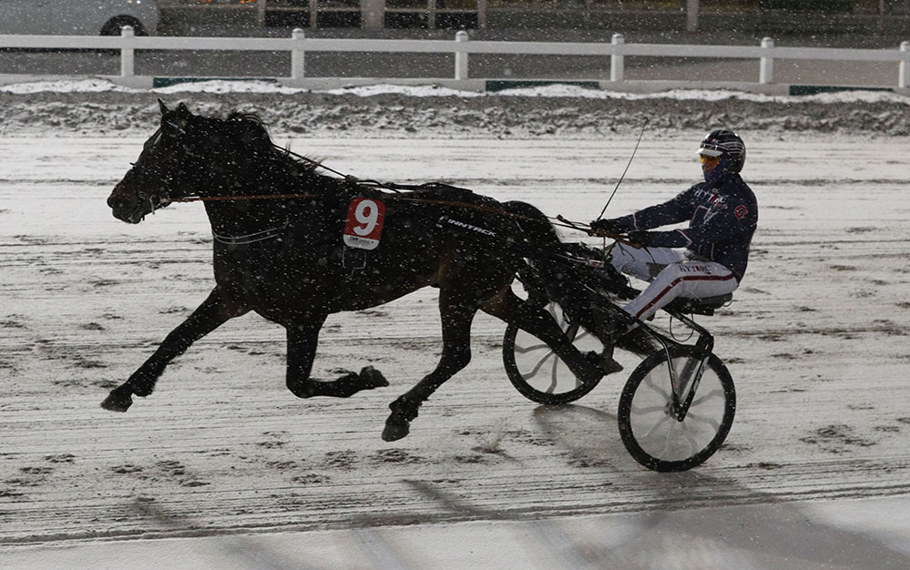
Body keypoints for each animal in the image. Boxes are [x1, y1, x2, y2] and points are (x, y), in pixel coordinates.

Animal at [102, 101, 640, 441]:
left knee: (458, 355)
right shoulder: (232, 295)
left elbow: (299, 384)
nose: (116, 202)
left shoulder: (306, 314)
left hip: (460, 292)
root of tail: (501, 213)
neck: (281, 213)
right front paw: (126, 390)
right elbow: (177, 337)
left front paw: (363, 377)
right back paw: (587, 367)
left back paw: (402, 411)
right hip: (488, 291)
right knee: (542, 320)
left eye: (163, 152)